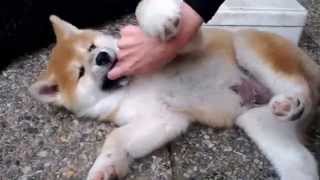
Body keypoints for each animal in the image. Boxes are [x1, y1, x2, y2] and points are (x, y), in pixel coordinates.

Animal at [28, 0, 318, 179]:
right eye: (80, 73)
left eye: (91, 47)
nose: (101, 57)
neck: (131, 85)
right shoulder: (163, 118)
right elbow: (116, 139)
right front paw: (105, 166)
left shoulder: (188, 45)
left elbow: (145, 11)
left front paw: (160, 18)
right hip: (259, 123)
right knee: (301, 162)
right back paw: (290, 109)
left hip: (246, 44)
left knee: (299, 86)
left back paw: (292, 101)